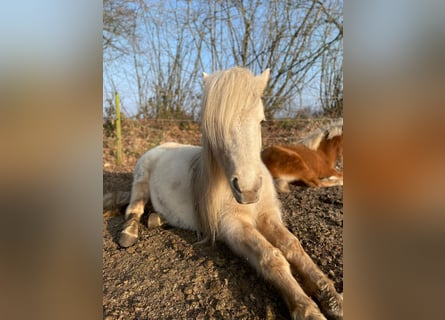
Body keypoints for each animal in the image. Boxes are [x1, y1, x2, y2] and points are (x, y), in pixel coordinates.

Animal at [116, 66, 342, 318]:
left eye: (261, 121)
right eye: (216, 128)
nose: (248, 190)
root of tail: (159, 147)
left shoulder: (269, 216)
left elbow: (293, 246)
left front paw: (333, 299)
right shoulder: (232, 226)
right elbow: (271, 257)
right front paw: (307, 309)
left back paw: (157, 219)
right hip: (140, 181)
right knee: (134, 208)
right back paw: (129, 233)